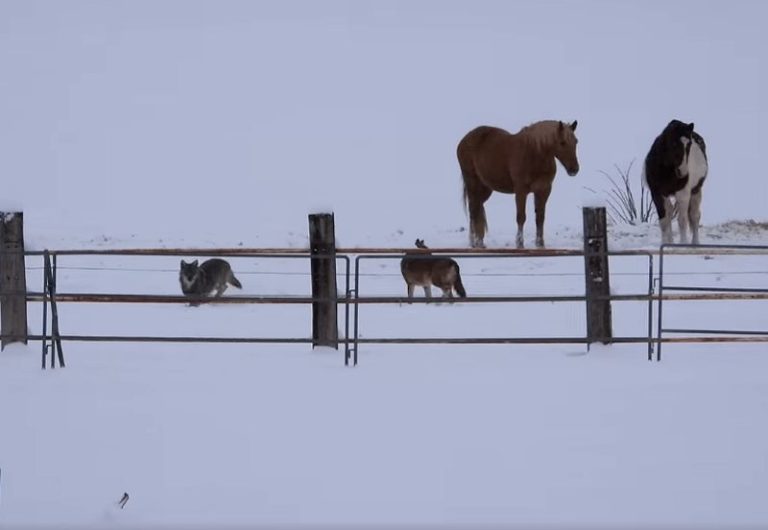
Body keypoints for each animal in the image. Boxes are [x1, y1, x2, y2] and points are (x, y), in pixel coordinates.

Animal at [460, 119, 580, 248]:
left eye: (576, 142)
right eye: (562, 142)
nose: (574, 169)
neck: (534, 154)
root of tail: (464, 140)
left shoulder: (544, 190)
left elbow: (540, 217)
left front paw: (540, 244)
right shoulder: (521, 191)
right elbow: (521, 217)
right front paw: (519, 243)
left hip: (485, 188)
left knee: (478, 208)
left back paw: (479, 242)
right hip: (472, 183)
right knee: (473, 210)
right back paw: (475, 242)